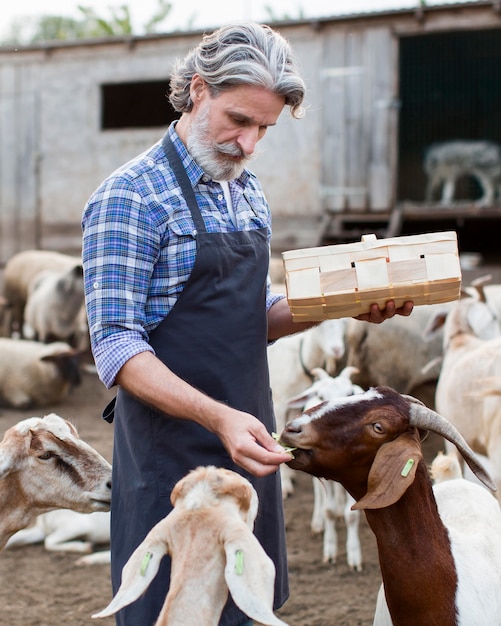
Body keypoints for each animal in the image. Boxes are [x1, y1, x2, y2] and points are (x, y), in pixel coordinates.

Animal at [268, 320, 346, 494]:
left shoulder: (294, 401)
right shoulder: (279, 403)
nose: (337, 350)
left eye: (344, 324)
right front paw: (285, 484)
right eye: (321, 327)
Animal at [286, 364, 364, 568]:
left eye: (350, 394)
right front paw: (330, 550)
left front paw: (354, 556)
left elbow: (352, 514)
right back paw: (318, 523)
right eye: (321, 397)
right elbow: (328, 510)